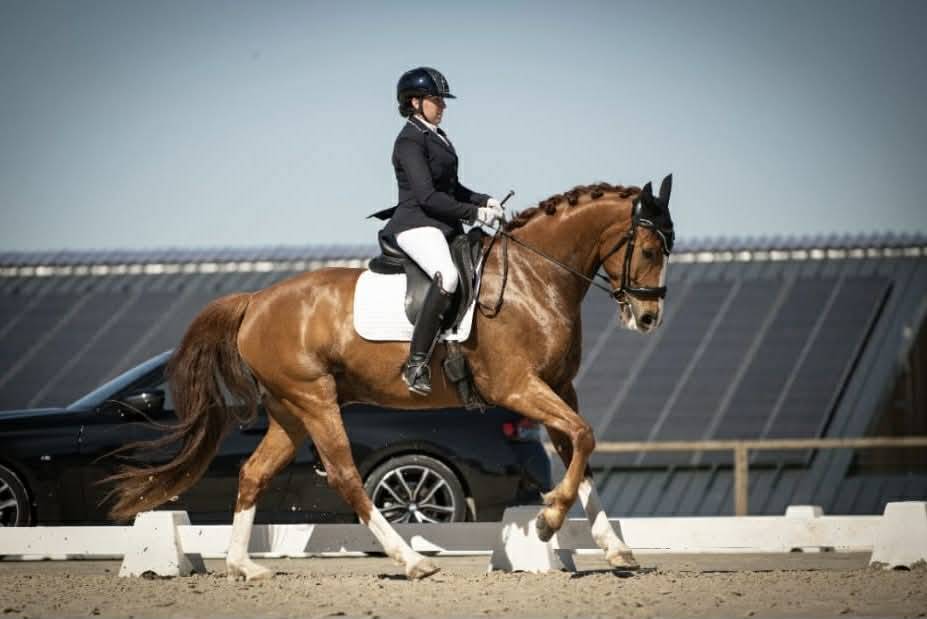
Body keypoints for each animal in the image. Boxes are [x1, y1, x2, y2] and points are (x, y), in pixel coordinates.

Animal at [106, 174, 675, 581]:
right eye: (649, 250)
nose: (648, 319)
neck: (535, 280)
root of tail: (256, 301)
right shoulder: (518, 386)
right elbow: (583, 435)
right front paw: (547, 520)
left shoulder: (558, 386)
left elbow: (582, 447)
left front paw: (616, 549)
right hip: (316, 401)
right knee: (346, 477)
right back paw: (412, 560)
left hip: (290, 411)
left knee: (253, 472)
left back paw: (244, 566)